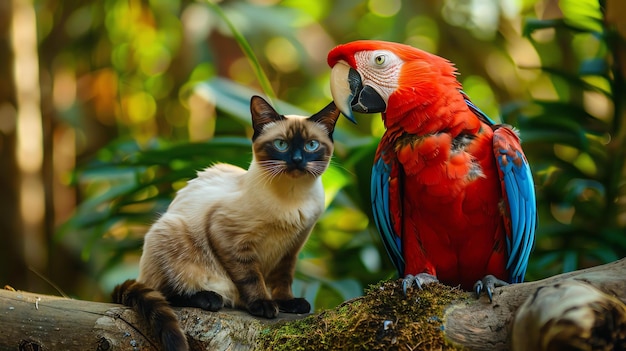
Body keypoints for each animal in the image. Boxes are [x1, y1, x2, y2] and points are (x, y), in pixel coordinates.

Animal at [112, 96, 336, 351]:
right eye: (281, 145)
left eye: (311, 146)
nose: (297, 160)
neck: (293, 196)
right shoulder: (228, 237)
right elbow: (251, 278)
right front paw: (264, 305)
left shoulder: (291, 248)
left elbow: (283, 279)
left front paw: (288, 303)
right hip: (170, 231)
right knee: (164, 292)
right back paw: (209, 298)